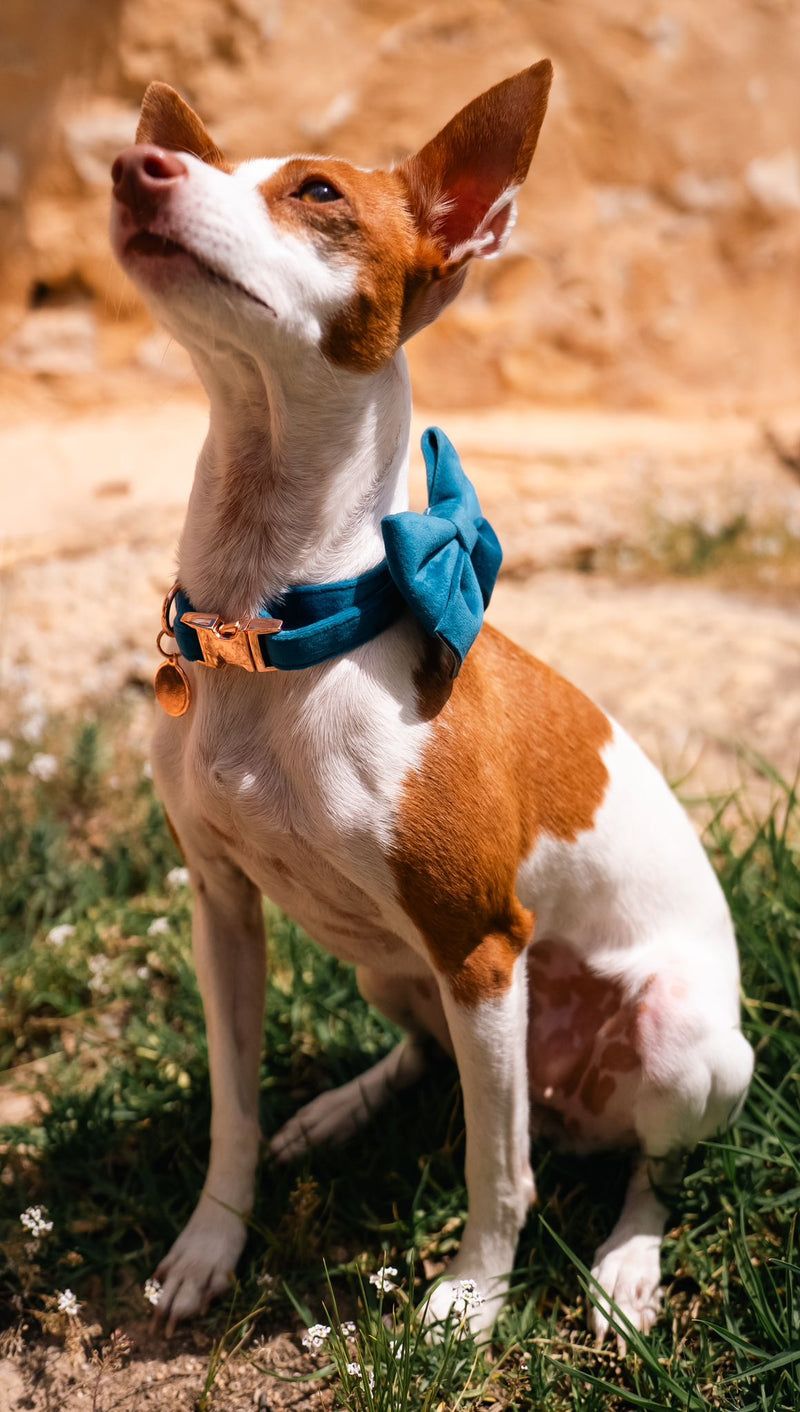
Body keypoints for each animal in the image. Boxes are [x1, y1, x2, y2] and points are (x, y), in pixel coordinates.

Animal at [109, 63, 756, 1344]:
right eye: (202, 160)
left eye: (316, 192)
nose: (135, 166)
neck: (278, 627)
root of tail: (573, 1099)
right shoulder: (220, 905)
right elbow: (231, 1108)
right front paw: (211, 1244)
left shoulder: (480, 945)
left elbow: (493, 1171)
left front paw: (472, 1296)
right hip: (390, 970)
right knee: (430, 1063)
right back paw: (340, 1107)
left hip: (681, 1047)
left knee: (637, 1162)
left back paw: (625, 1266)